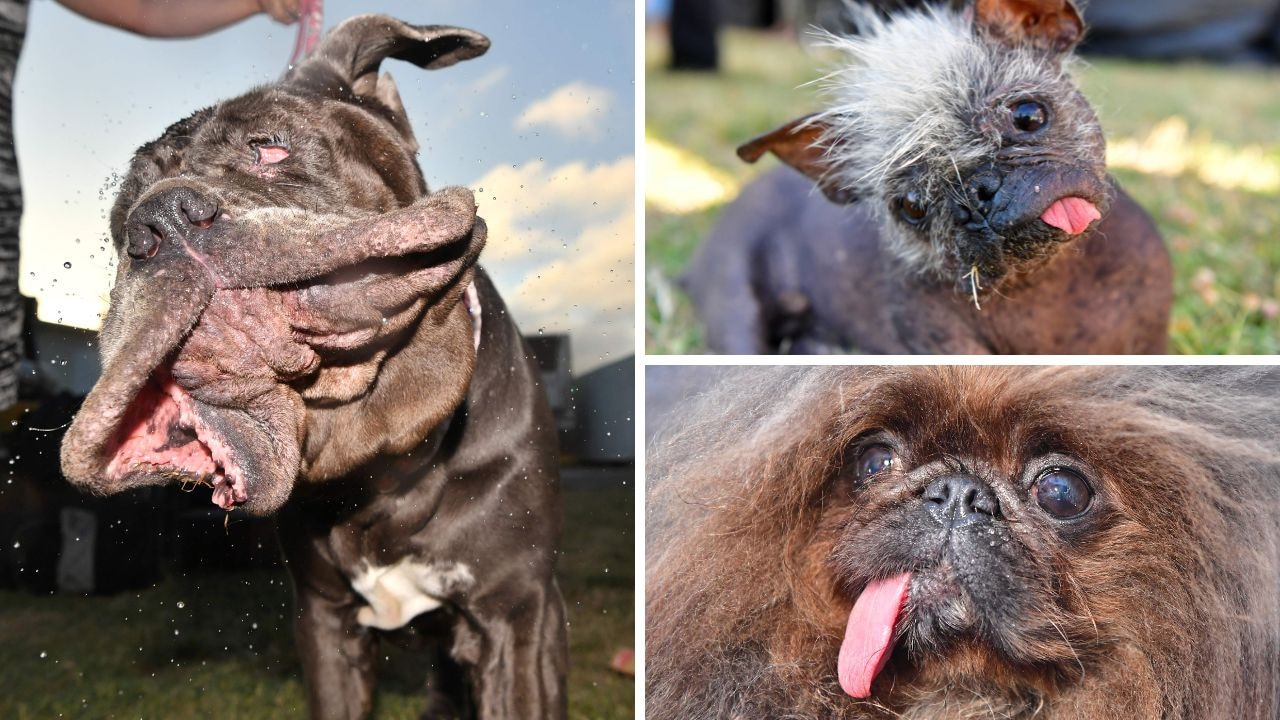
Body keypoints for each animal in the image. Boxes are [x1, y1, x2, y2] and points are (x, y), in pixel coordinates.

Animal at [60, 12, 568, 717]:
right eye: (117, 227)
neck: (381, 458)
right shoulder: (325, 625)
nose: (156, 220)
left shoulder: (517, 616)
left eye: (270, 149)